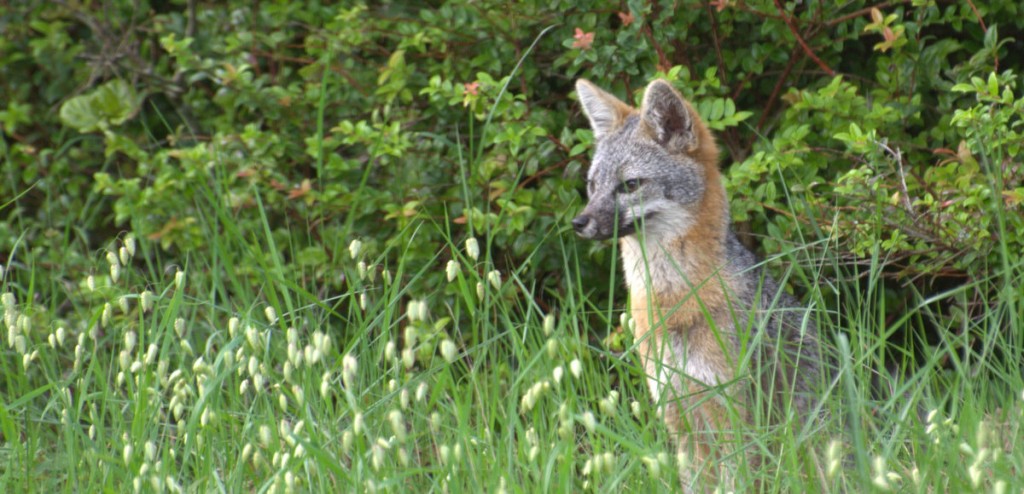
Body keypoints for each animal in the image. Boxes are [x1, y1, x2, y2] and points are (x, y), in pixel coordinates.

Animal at [571, 78, 825, 491]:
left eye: (630, 185)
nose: (579, 222)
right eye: (593, 186)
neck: (675, 301)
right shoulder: (678, 417)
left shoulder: (732, 418)